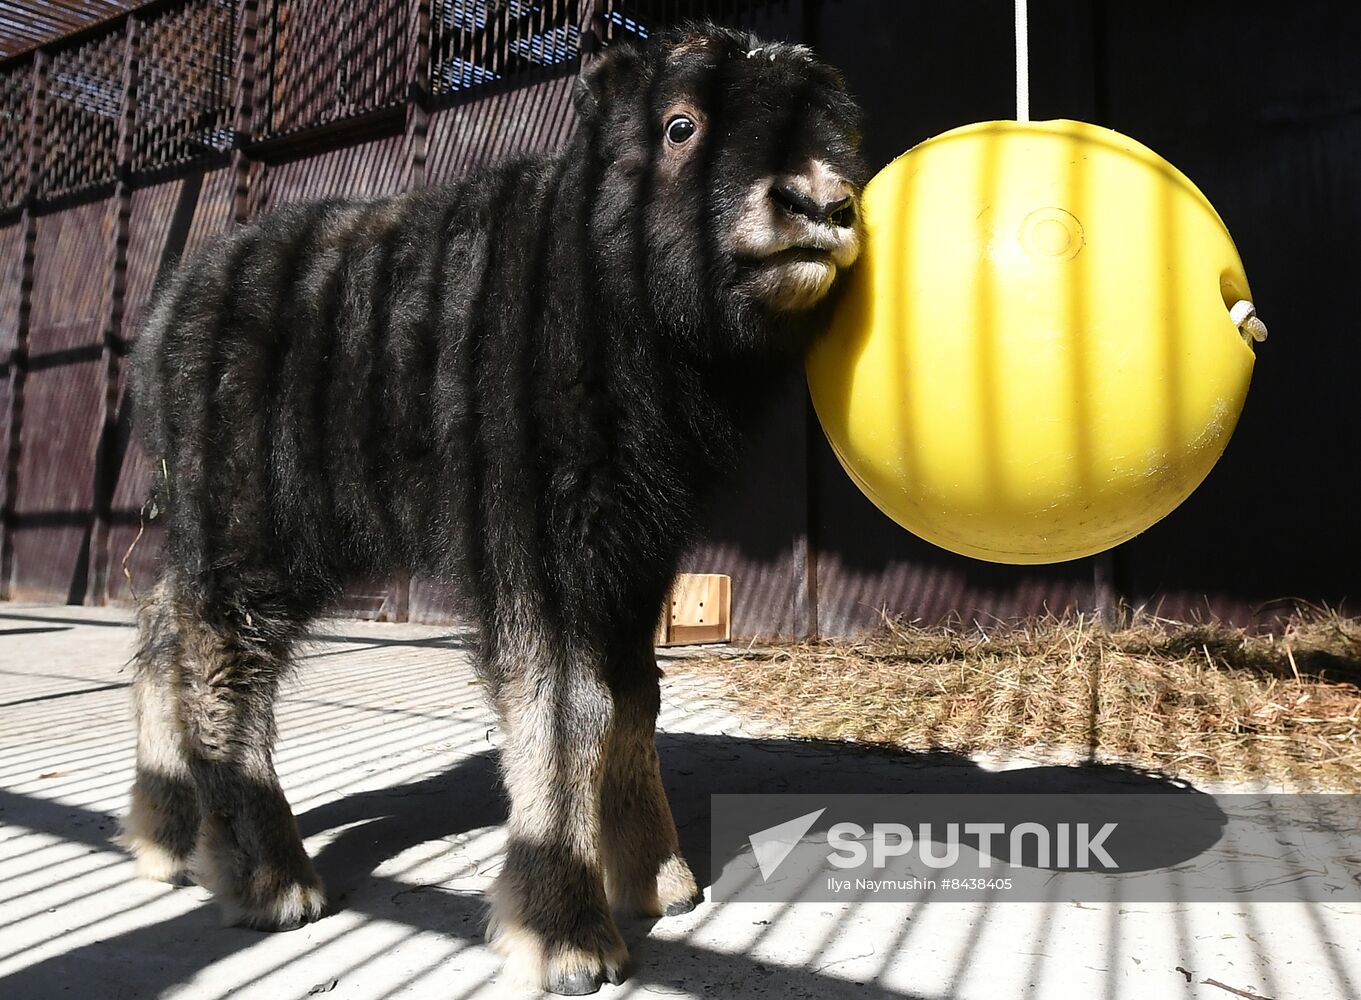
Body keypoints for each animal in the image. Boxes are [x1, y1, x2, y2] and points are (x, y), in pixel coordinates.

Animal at [117, 21, 860, 995]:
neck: (593, 288)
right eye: (679, 126)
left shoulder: (633, 556)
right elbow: (567, 711)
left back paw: (166, 835)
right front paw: (565, 935)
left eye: (835, 124)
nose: (822, 202)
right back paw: (271, 880)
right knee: (218, 652)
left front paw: (659, 880)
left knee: (165, 621)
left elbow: (634, 697)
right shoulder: (537, 548)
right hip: (250, 516)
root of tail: (165, 315)